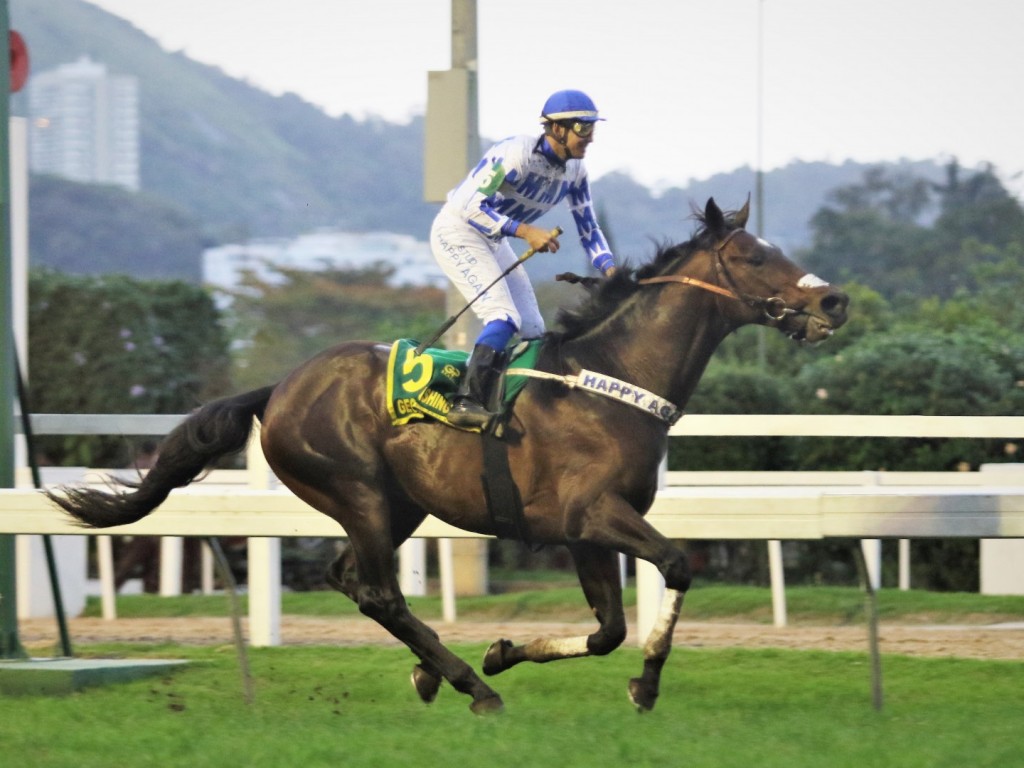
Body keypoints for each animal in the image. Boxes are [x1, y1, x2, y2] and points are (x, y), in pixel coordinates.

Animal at [48, 198, 847, 716]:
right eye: (752, 256)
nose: (833, 301)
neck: (610, 380)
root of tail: (279, 387)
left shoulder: (583, 531)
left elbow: (608, 630)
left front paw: (507, 650)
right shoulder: (595, 515)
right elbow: (675, 568)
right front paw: (643, 684)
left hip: (397, 506)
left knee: (352, 580)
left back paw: (436, 672)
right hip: (360, 492)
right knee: (378, 592)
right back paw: (471, 686)